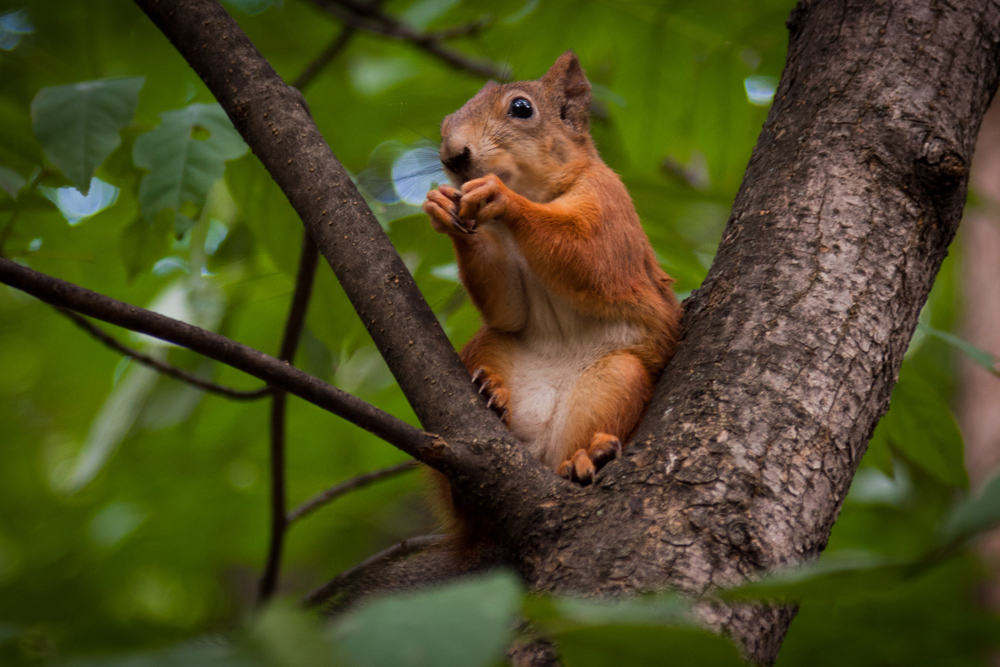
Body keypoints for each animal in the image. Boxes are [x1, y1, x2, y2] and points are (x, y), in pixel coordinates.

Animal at [422, 51, 688, 544]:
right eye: (446, 122)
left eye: (521, 108)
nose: (453, 156)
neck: (539, 193)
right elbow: (507, 306)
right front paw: (441, 207)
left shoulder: (610, 207)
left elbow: (589, 258)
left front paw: (500, 195)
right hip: (490, 346)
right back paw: (491, 394)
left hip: (615, 381)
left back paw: (588, 458)